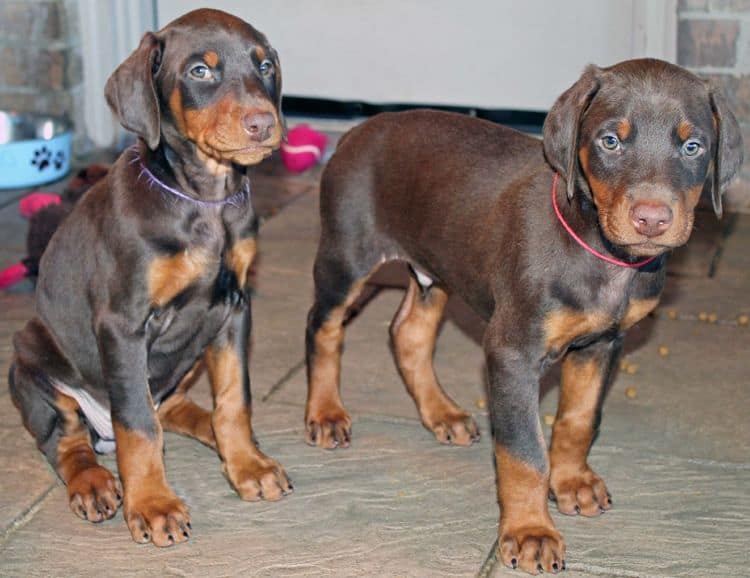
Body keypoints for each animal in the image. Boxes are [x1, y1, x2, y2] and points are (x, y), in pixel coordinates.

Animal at [8, 10, 290, 548]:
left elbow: (234, 399)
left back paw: (213, 434)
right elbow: (138, 426)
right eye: (200, 71)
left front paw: (247, 464)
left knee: (171, 406)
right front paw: (153, 505)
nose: (264, 123)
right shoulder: (123, 324)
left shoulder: (234, 309)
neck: (203, 200)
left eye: (264, 66)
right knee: (67, 438)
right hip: (31, 358)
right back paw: (94, 483)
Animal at [306, 59, 748, 572]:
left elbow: (578, 419)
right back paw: (325, 412)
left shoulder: (601, 345)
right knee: (323, 327)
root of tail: (356, 132)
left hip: (439, 266)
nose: (652, 219)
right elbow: (523, 452)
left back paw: (442, 413)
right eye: (610, 141)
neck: (599, 251)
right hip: (346, 257)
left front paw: (572, 482)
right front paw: (530, 531)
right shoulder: (511, 352)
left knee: (408, 333)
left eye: (693, 146)